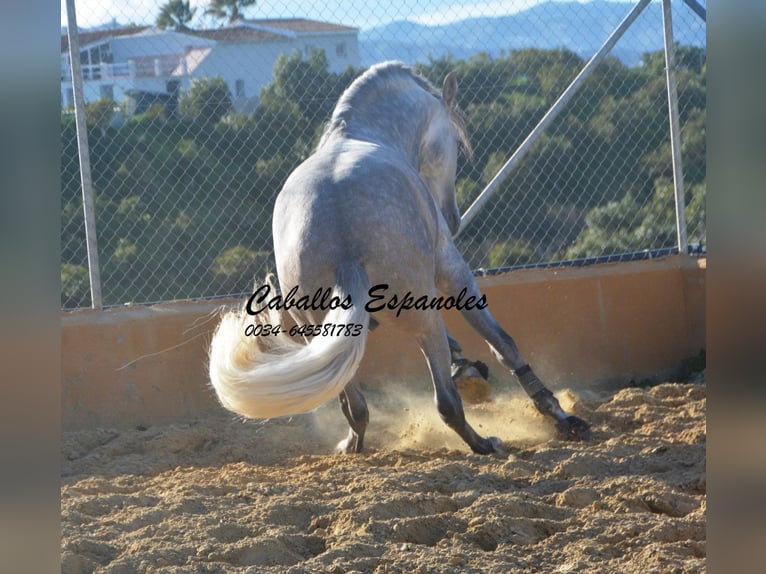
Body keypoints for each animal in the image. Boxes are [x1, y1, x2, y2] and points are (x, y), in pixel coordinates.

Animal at [207, 62, 592, 454]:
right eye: (455, 143)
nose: (451, 217)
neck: (359, 134)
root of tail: (344, 244)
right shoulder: (453, 270)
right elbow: (502, 343)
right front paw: (561, 416)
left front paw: (467, 367)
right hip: (424, 320)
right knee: (446, 403)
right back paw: (485, 443)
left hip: (324, 333)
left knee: (356, 406)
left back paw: (353, 444)